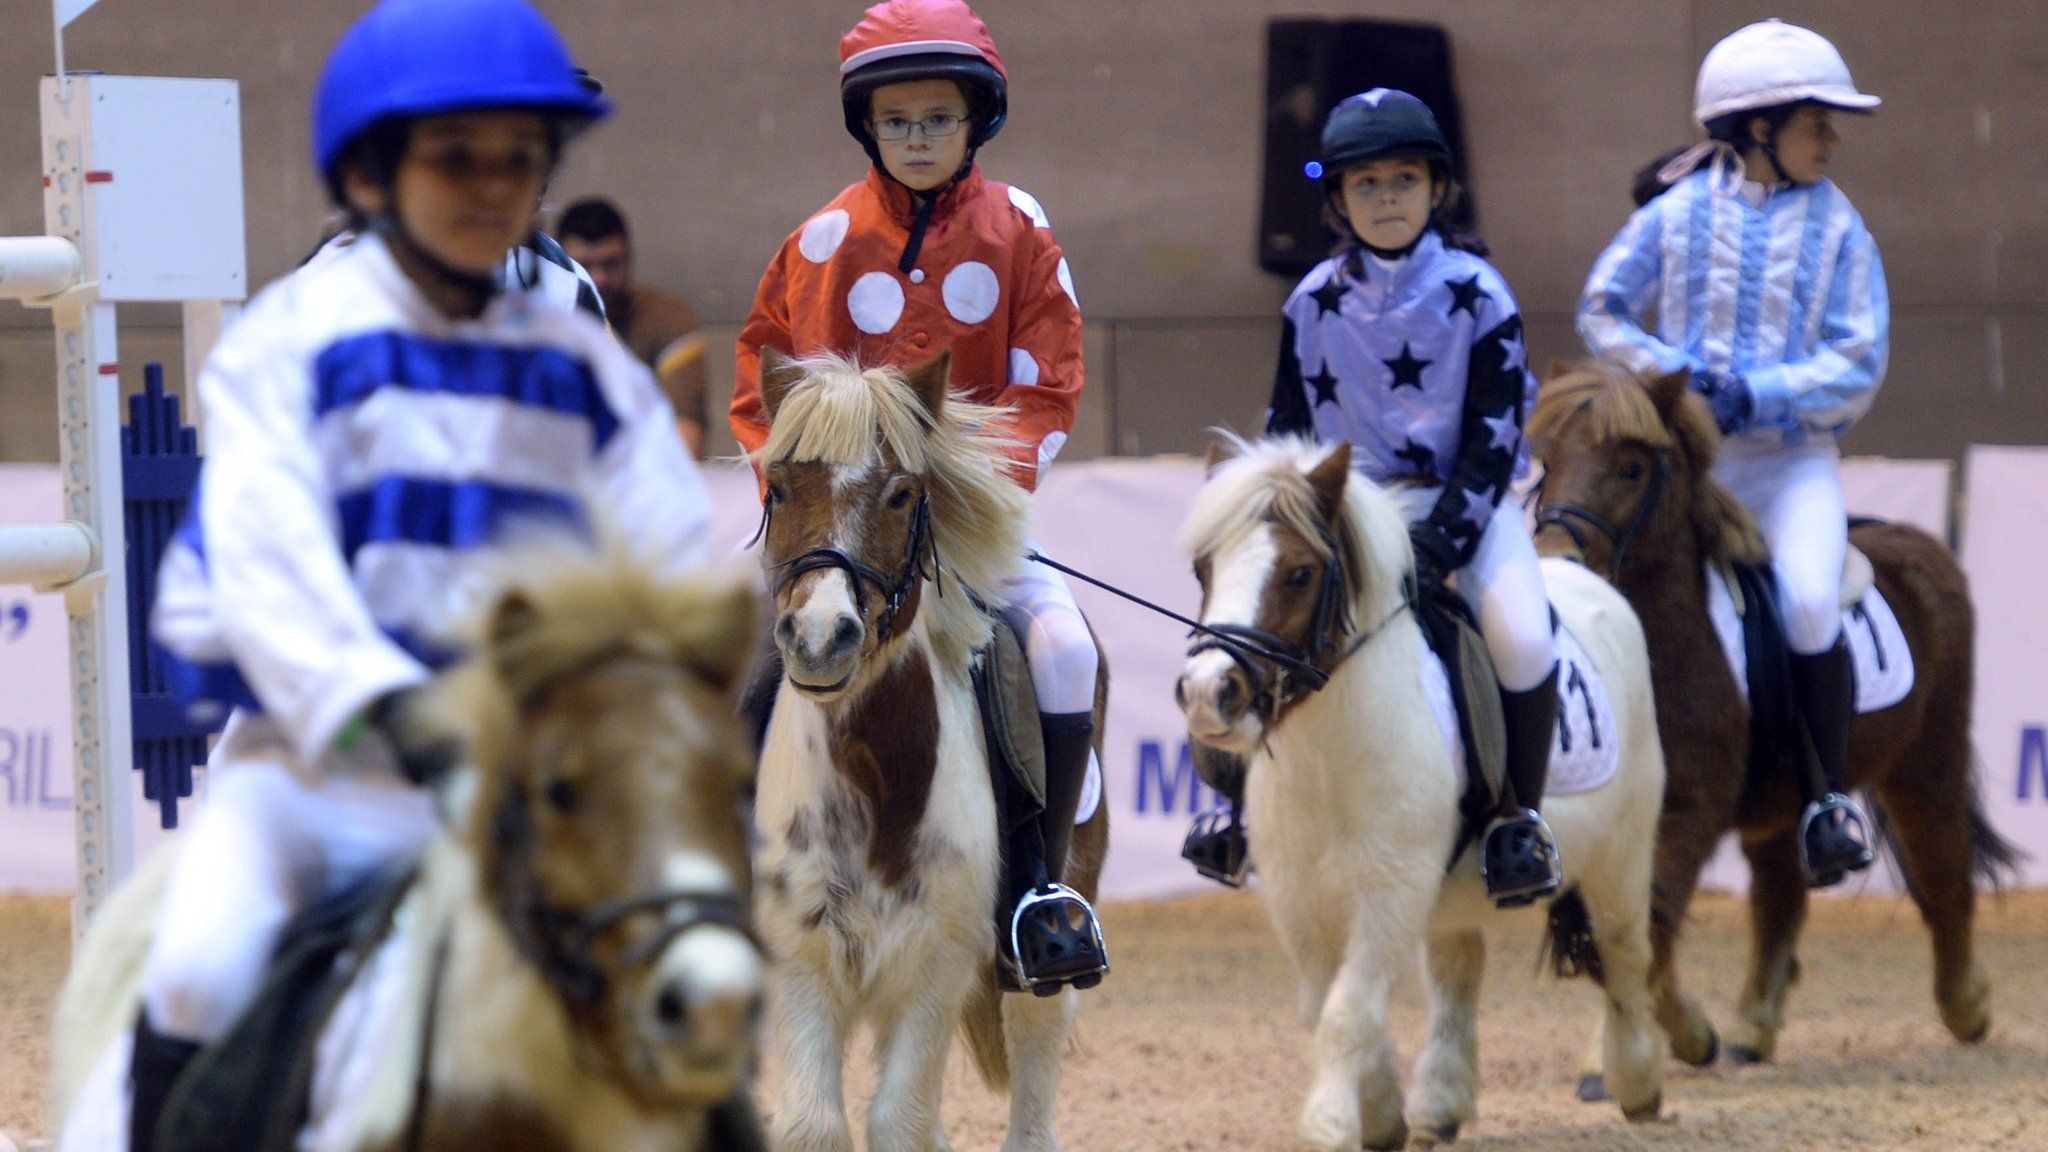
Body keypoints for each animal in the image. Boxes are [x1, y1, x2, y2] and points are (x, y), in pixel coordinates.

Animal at [749, 348, 1114, 1147]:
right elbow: (815, 1124)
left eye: (901, 495)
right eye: (778, 487)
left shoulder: (934, 967)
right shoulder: (802, 960)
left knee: (1035, 1043)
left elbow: (900, 1121)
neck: (872, 771)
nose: (820, 637)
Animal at [1179, 434, 1671, 1139]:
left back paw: (1635, 1082)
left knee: (1627, 953)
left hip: (1621, 853)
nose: (1207, 693)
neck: (1328, 763)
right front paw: (1381, 1113)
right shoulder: (1299, 902)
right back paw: (1442, 1100)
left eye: (1300, 573)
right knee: (1457, 967)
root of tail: (1595, 585)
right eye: (1204, 569)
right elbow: (1326, 1007)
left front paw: (1329, 1126)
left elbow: (1346, 1013)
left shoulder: (1390, 891)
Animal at [1531, 360, 2023, 1074]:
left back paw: (1968, 1006)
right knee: (1779, 897)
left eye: (1630, 468)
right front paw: (1656, 1044)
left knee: (1944, 872)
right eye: (1546, 461)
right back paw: (1752, 1027)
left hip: (1925, 760)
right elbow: (1621, 933)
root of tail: (1918, 543)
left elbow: (1646, 928)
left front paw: (1656, 1046)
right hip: (1785, 799)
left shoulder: (1688, 809)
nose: (1553, 559)